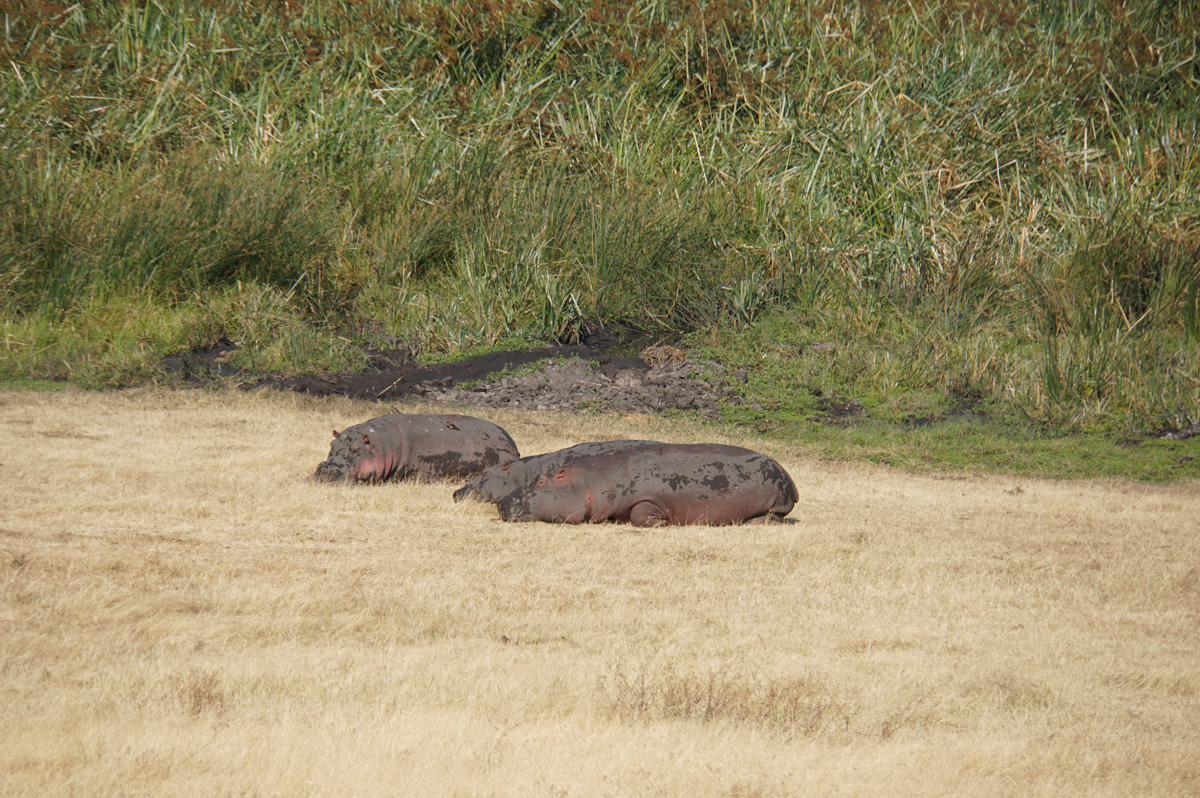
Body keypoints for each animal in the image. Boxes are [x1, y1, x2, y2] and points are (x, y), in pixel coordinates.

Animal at [495, 443, 797, 527]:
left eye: (539, 479)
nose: (500, 501)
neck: (588, 481)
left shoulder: (650, 499)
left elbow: (641, 514)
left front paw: (661, 522)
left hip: (777, 500)